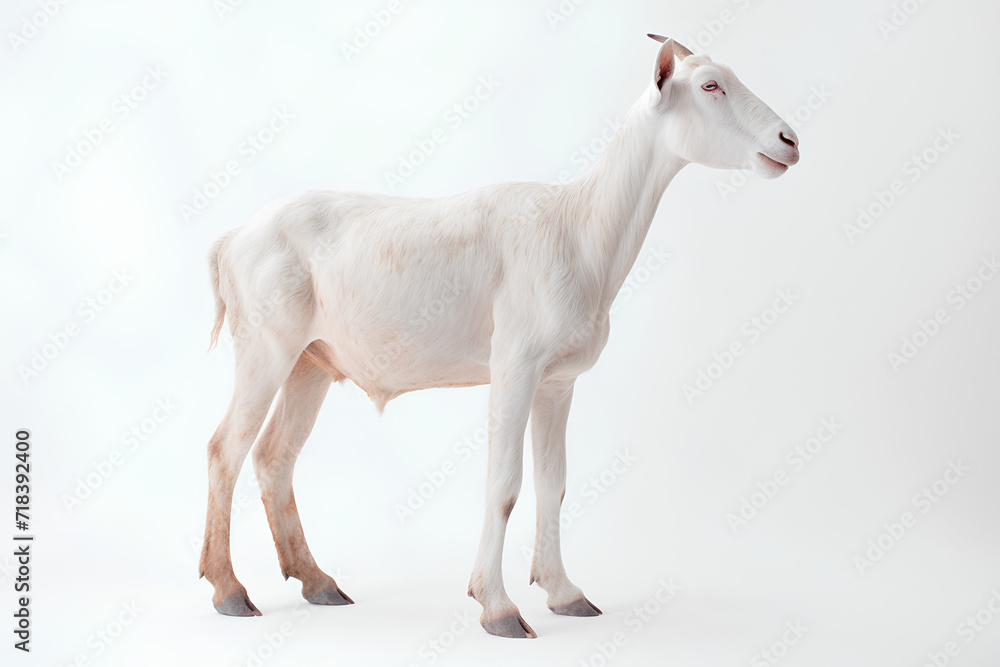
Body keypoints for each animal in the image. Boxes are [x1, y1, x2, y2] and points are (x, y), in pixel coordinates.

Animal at [199, 34, 800, 638]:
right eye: (709, 85)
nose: (790, 141)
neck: (578, 228)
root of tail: (232, 238)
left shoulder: (558, 381)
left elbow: (554, 485)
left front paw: (565, 593)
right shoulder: (514, 364)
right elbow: (504, 485)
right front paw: (499, 608)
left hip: (311, 361)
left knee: (275, 455)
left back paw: (318, 582)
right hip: (265, 345)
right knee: (226, 447)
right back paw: (230, 591)